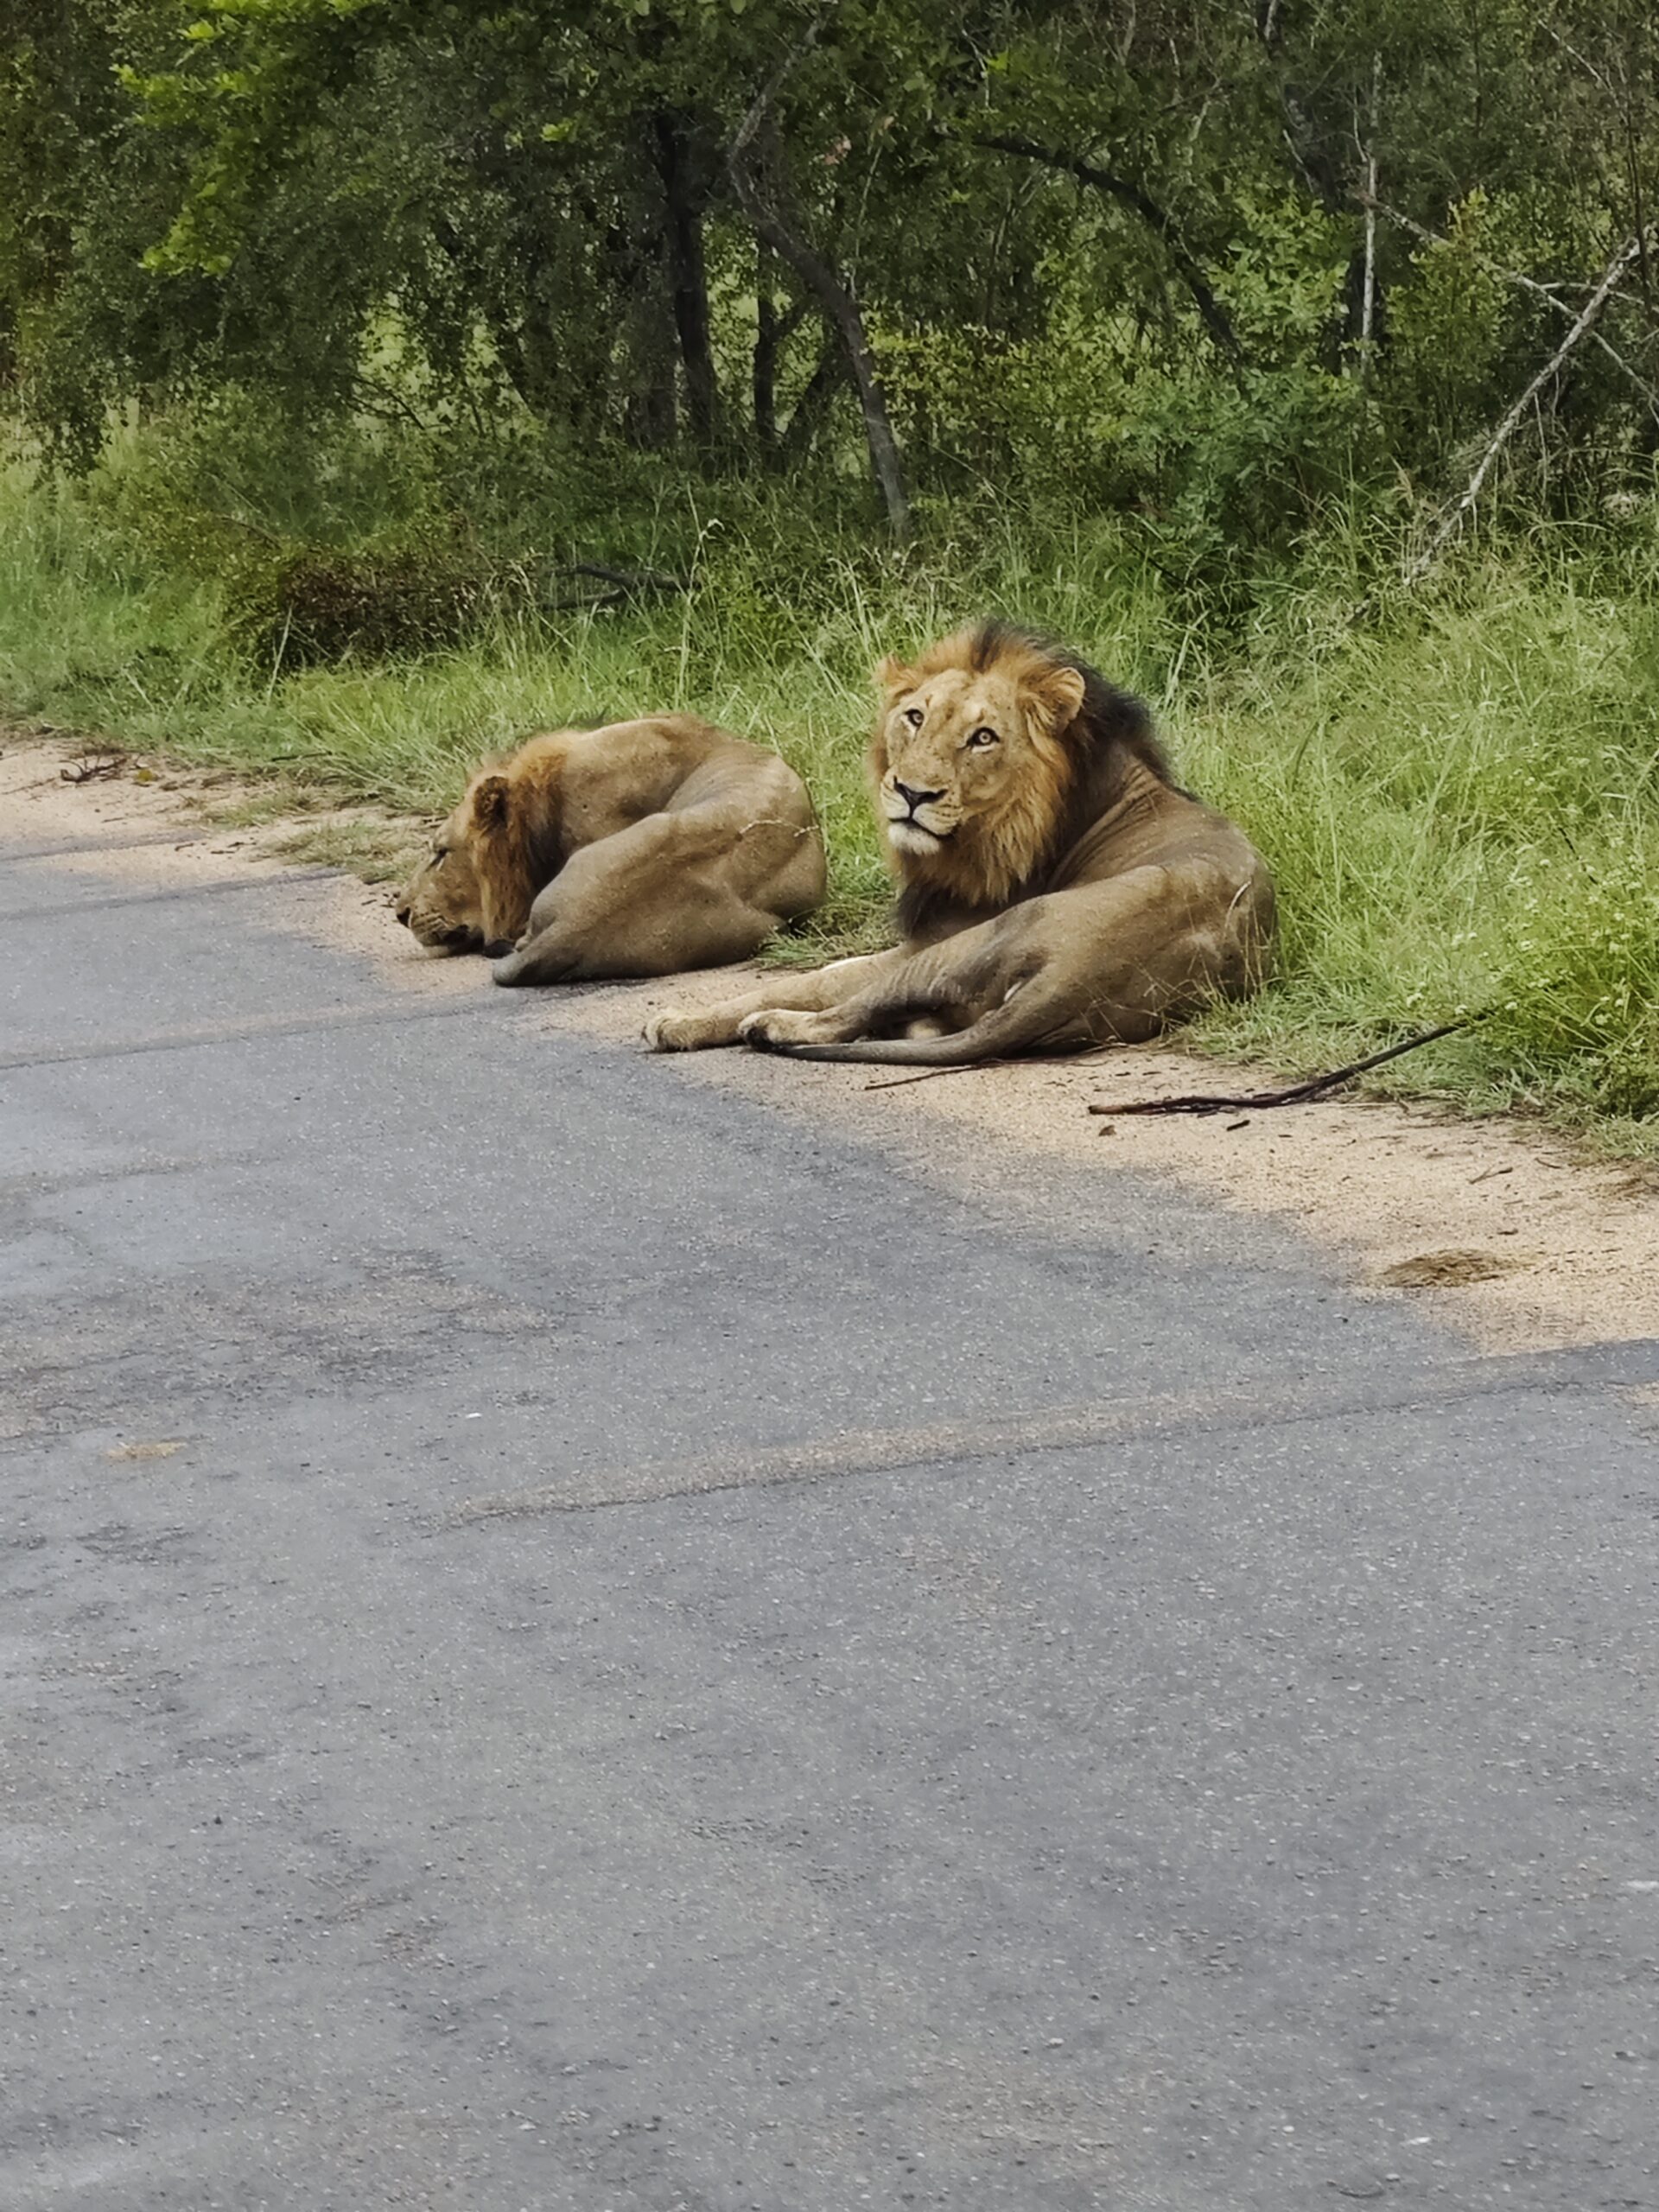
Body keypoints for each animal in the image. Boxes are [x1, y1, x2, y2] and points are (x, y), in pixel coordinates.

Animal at [644, 623, 1273, 1063]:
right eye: (915, 718)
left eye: (983, 738)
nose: (912, 793)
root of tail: (1076, 976)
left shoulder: (924, 941)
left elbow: (814, 979)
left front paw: (679, 1022)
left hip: (967, 945)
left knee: (845, 1009)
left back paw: (771, 1026)